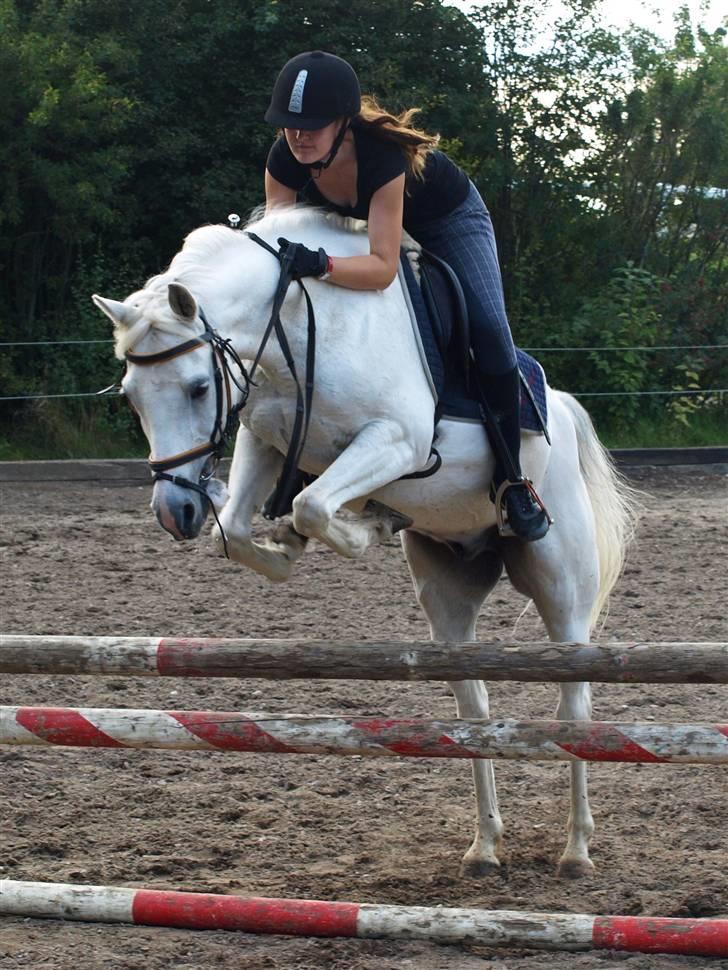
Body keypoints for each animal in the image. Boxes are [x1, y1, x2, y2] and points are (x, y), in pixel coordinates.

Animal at [92, 208, 636, 880]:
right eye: (131, 397)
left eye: (197, 387)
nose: (177, 511)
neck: (298, 323)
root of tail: (559, 406)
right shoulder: (266, 438)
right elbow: (242, 531)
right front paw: (292, 543)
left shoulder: (396, 440)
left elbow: (313, 503)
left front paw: (361, 524)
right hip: (449, 593)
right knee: (475, 711)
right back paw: (484, 845)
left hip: (560, 590)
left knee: (573, 708)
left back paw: (577, 849)